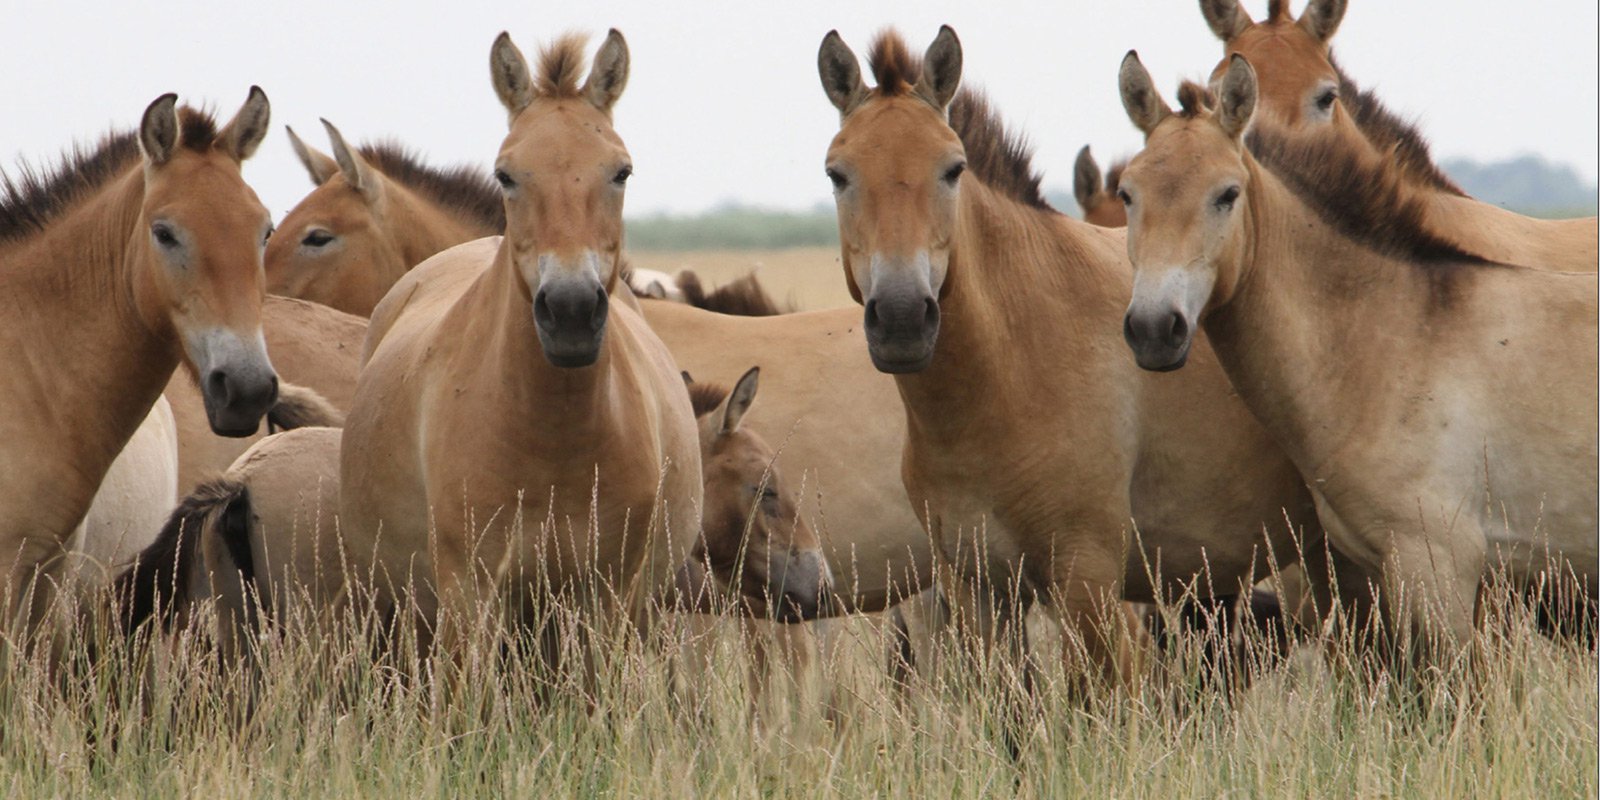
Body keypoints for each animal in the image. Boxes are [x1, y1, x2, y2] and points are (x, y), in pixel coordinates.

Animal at [344, 29, 700, 643]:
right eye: (506, 175)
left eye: (622, 171)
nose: (571, 310)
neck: (551, 441)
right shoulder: (471, 599)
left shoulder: (607, 602)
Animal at [812, 26, 1324, 688]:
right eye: (837, 175)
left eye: (953, 169)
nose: (901, 317)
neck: (1008, 371)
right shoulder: (977, 591)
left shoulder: (1088, 581)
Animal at [1120, 53, 1593, 672]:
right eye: (1128, 195)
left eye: (1227, 194)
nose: (1154, 329)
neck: (1397, 340)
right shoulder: (1374, 575)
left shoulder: (1440, 567)